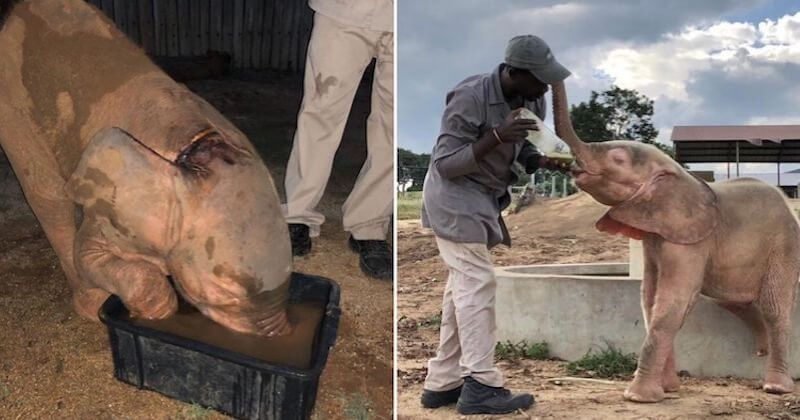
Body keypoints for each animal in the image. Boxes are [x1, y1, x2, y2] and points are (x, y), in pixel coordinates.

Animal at [0, 0, 294, 334]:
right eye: (224, 293)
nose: (283, 336)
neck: (197, 148)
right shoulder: (113, 203)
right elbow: (86, 254)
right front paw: (153, 311)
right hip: (13, 104)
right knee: (46, 194)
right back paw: (91, 306)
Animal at [548, 80, 800, 402]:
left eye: (618, 159)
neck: (675, 172)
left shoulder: (689, 240)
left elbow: (673, 299)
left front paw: (638, 397)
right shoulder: (655, 235)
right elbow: (650, 298)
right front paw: (667, 389)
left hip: (784, 244)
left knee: (774, 307)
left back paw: (775, 387)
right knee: (732, 301)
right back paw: (761, 348)